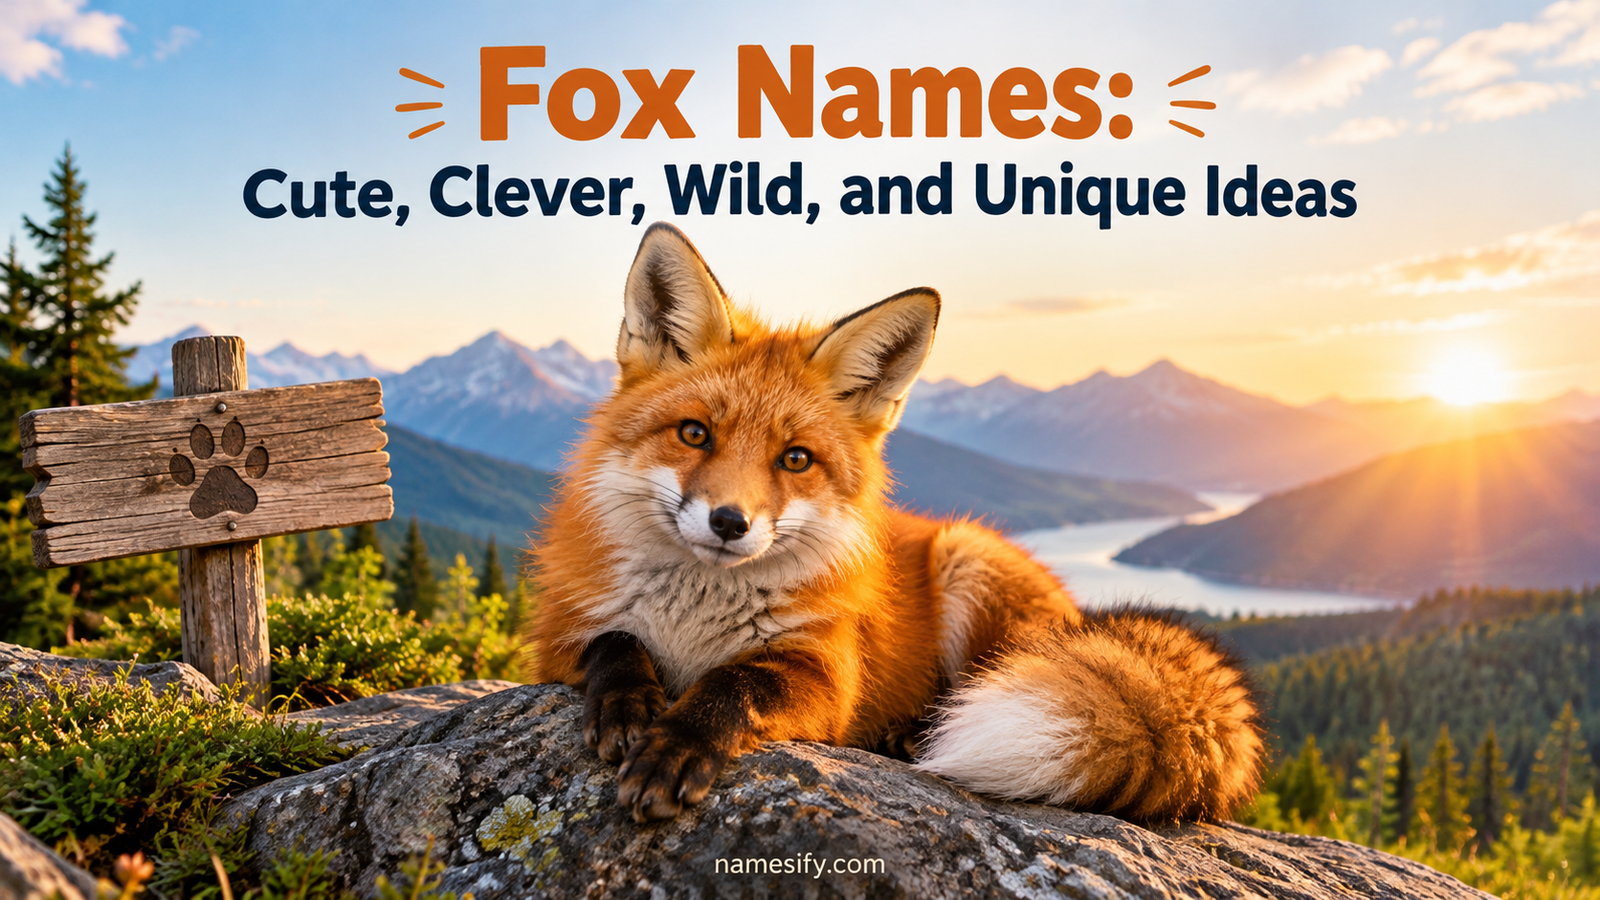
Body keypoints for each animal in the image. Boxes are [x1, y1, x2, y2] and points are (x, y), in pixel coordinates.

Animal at [532, 222, 1263, 824]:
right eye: (694, 434)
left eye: (795, 459)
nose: (729, 522)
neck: (694, 627)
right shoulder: (558, 638)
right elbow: (613, 643)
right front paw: (628, 706)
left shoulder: (825, 674)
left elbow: (735, 682)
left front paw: (677, 746)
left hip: (969, 567)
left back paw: (914, 736)